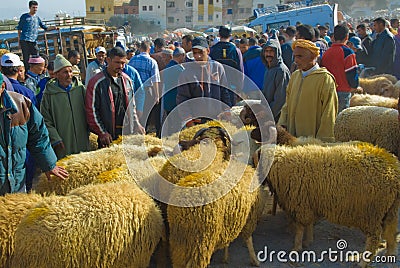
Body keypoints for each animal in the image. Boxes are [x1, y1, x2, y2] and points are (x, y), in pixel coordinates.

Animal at [260, 142, 400, 266]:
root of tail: (393, 169)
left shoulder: (301, 204)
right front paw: (308, 241)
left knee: (375, 237)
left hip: (372, 212)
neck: (282, 165)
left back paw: (363, 262)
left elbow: (300, 228)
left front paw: (297, 247)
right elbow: (309, 225)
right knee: (391, 233)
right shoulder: (309, 203)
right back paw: (390, 255)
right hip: (391, 210)